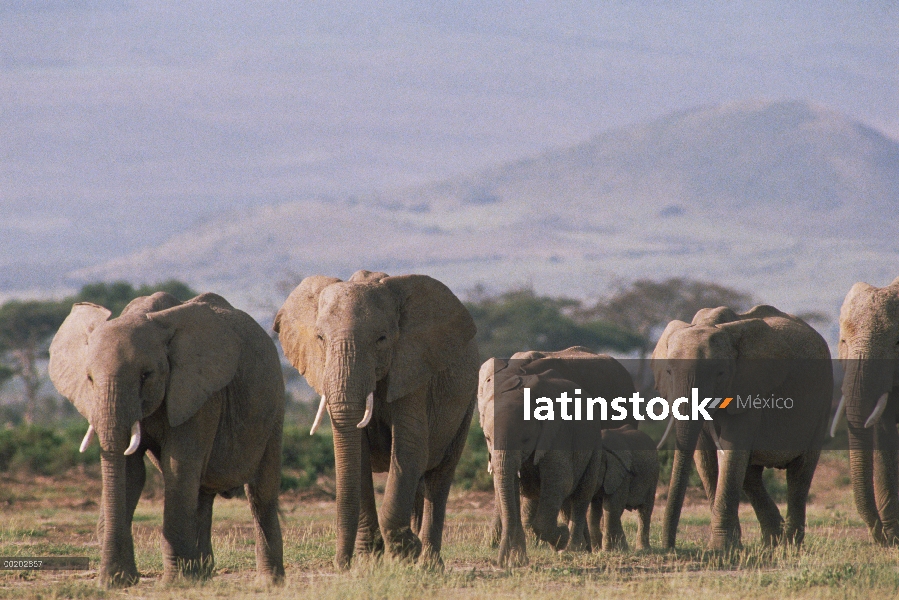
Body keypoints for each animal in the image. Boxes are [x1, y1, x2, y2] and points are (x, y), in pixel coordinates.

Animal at [48, 292, 284, 588]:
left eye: (145, 375)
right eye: (89, 378)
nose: (109, 580)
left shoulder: (199, 393)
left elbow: (178, 466)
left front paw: (174, 583)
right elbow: (131, 472)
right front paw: (119, 581)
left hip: (273, 410)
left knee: (260, 492)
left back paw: (268, 583)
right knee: (201, 492)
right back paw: (201, 577)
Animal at [274, 270, 482, 568]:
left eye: (381, 339)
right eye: (320, 338)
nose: (341, 564)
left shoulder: (413, 365)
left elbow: (409, 447)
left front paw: (405, 552)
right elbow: (356, 454)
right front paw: (370, 560)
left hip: (466, 401)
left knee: (440, 475)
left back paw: (429, 564)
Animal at [478, 346, 640, 568]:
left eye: (526, 439)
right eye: (487, 437)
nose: (502, 563)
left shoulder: (558, 430)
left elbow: (560, 481)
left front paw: (560, 538)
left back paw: (585, 547)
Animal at [652, 308, 828, 552]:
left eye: (720, 373)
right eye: (668, 371)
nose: (669, 548)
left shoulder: (748, 387)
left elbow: (730, 448)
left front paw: (720, 549)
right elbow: (705, 457)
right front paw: (728, 546)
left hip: (822, 405)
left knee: (800, 473)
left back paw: (789, 546)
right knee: (750, 475)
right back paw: (772, 542)